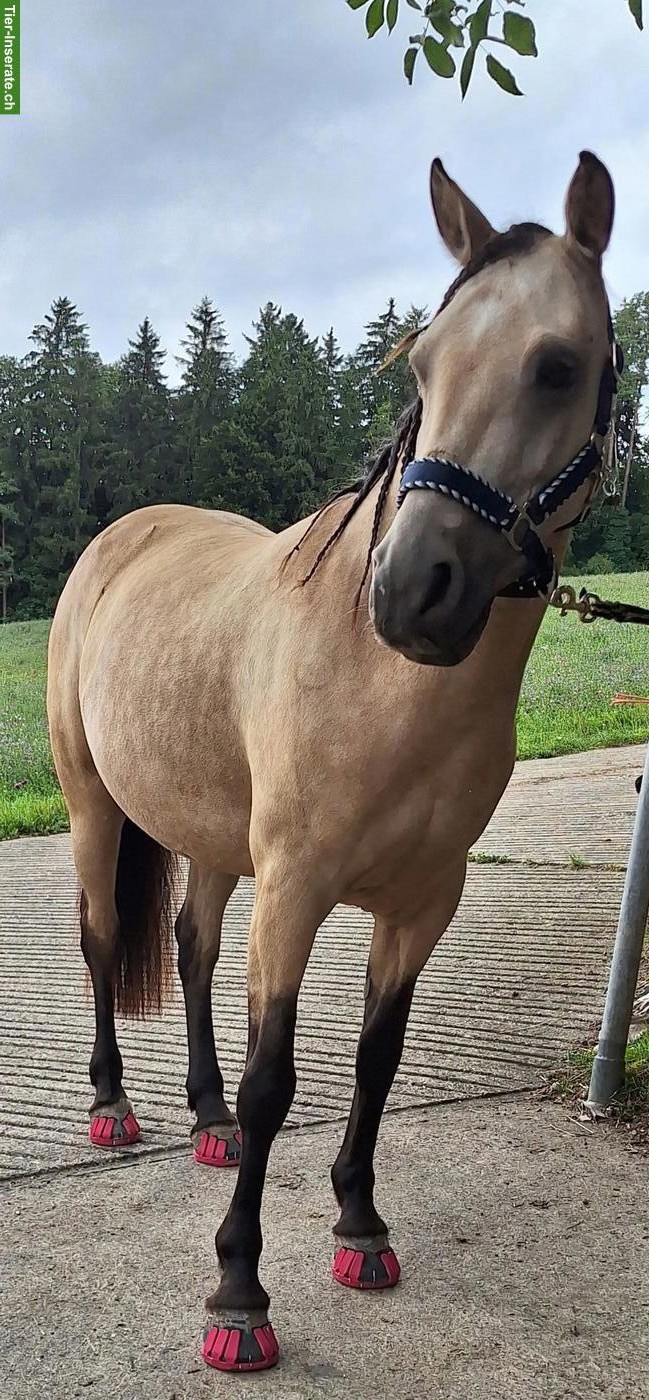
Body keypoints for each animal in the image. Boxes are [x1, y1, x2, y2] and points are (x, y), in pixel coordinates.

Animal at [47, 151, 619, 1373]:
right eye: (424, 361)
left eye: (556, 364)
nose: (411, 592)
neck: (382, 684)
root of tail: (120, 537)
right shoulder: (298, 888)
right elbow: (280, 1079)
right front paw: (238, 1292)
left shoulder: (423, 902)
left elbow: (374, 1060)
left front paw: (359, 1223)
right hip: (91, 805)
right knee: (105, 939)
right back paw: (115, 1105)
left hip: (214, 838)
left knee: (192, 948)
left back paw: (205, 1117)